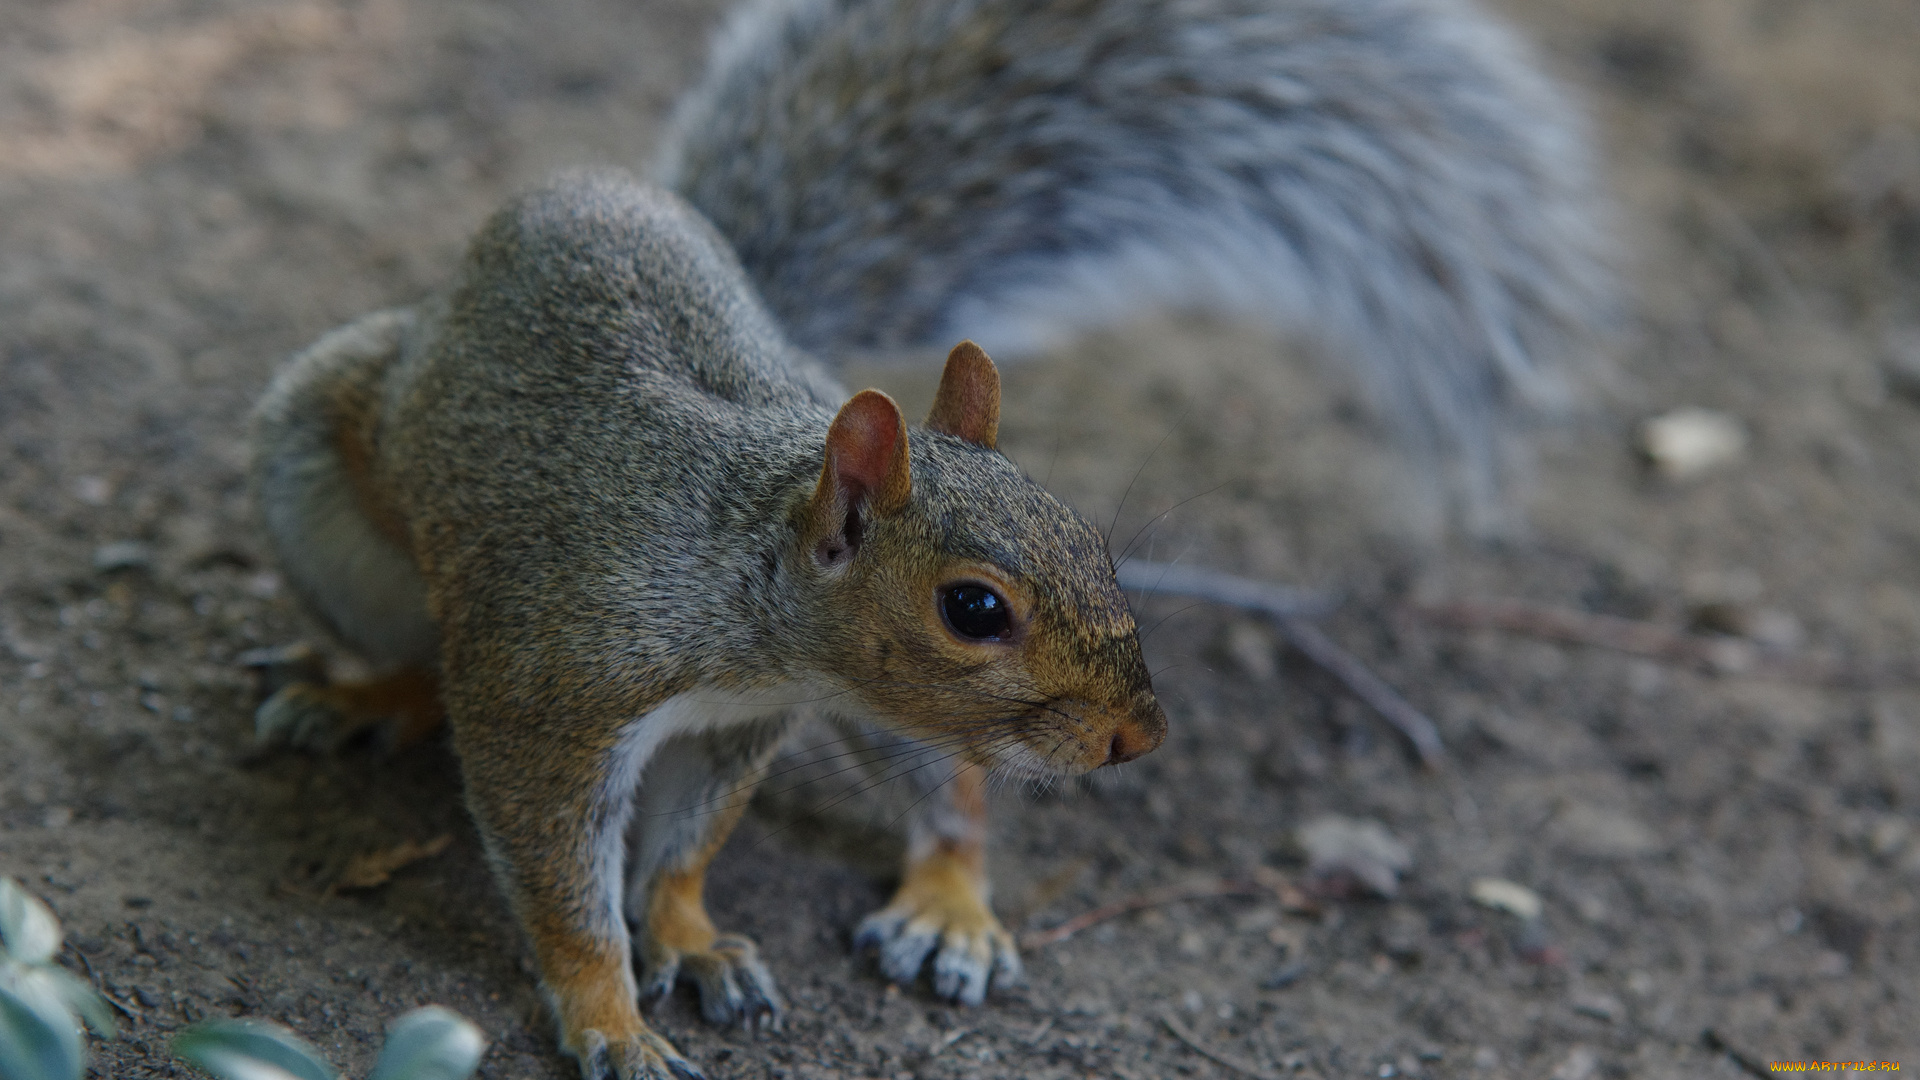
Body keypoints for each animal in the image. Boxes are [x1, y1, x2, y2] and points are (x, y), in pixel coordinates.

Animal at [251, 0, 1605, 1068]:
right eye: (975, 608)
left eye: (1094, 542)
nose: (1141, 736)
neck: (746, 600)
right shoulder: (552, 692)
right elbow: (560, 879)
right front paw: (612, 1018)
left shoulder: (746, 723)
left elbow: (686, 850)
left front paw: (691, 938)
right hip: (323, 495)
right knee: (413, 648)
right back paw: (368, 693)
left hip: (901, 718)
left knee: (949, 792)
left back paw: (951, 905)